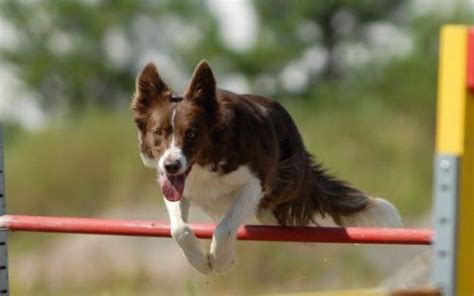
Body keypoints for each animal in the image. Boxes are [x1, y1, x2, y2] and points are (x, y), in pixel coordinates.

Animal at [130, 59, 400, 276]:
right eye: (158, 133)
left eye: (192, 133)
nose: (171, 165)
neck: (204, 165)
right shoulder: (176, 186)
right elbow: (180, 229)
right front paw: (201, 262)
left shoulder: (255, 182)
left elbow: (225, 227)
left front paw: (221, 262)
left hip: (287, 183)